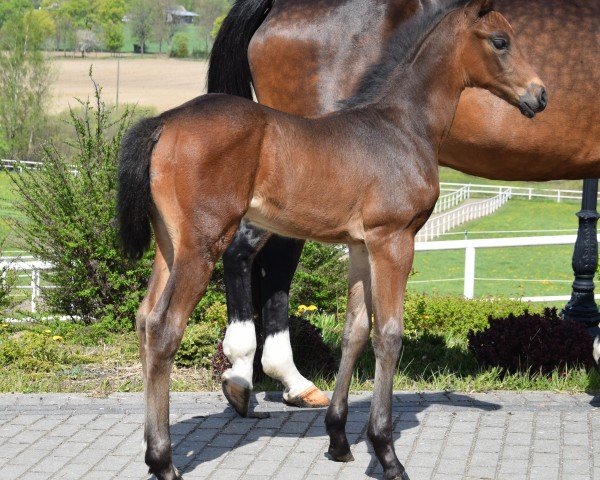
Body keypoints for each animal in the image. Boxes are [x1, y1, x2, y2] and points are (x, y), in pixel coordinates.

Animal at [118, 1, 548, 478]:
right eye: (500, 41)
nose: (540, 95)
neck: (400, 126)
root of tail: (163, 122)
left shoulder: (360, 246)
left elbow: (355, 332)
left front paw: (339, 439)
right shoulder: (394, 240)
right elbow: (389, 335)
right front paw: (386, 452)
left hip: (170, 247)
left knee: (144, 319)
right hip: (202, 246)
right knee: (165, 328)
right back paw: (163, 461)